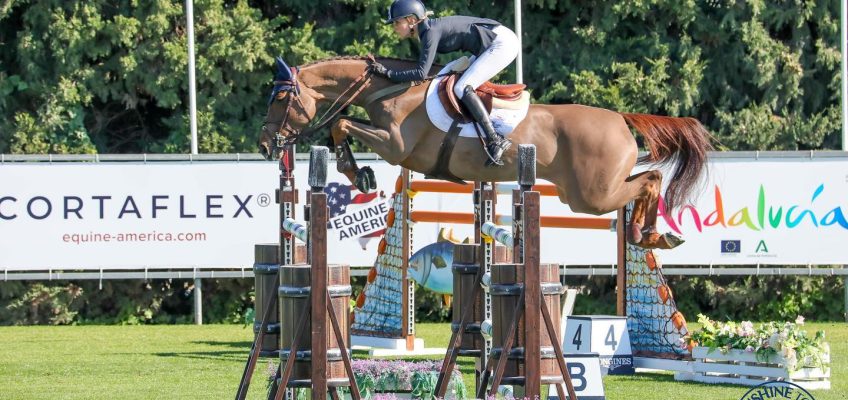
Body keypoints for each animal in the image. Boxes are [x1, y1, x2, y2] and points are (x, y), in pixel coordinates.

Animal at [260, 55, 716, 250]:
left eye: (280, 99)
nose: (266, 144)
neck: (389, 90)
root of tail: (620, 118)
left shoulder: (396, 146)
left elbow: (339, 124)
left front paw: (358, 173)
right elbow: (341, 124)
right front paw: (357, 172)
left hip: (591, 196)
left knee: (651, 180)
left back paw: (648, 233)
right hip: (588, 192)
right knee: (647, 180)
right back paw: (650, 234)